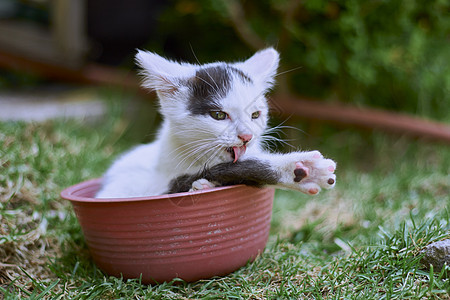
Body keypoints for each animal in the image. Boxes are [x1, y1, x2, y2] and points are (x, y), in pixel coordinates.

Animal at [96, 48, 336, 198]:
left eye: (255, 115)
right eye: (219, 115)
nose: (247, 137)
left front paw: (299, 171)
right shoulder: (160, 180)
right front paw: (301, 169)